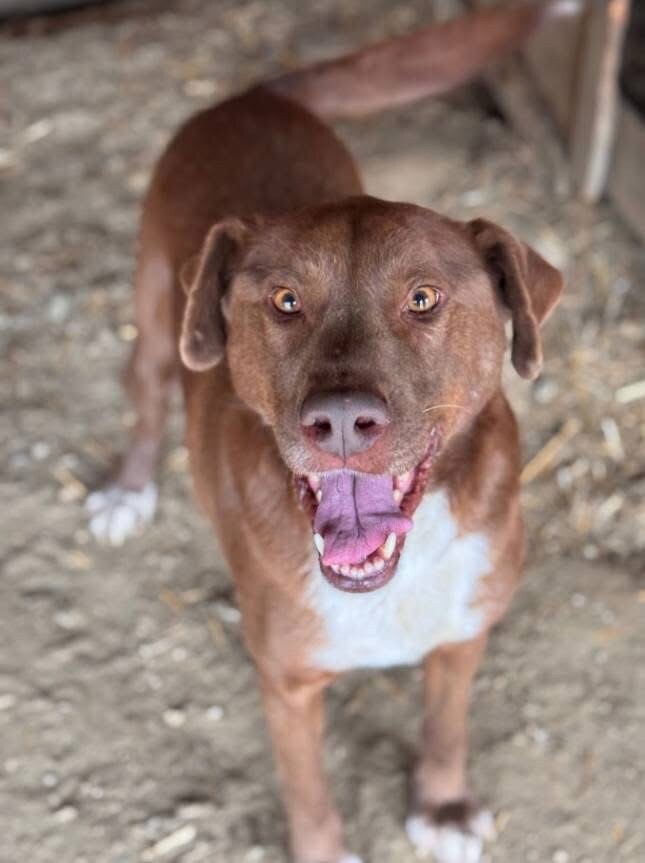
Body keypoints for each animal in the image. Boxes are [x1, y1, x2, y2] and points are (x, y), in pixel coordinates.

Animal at [87, 2, 572, 860]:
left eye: (422, 298)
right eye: (284, 301)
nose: (341, 420)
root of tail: (254, 95)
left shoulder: (464, 633)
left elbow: (446, 724)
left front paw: (441, 804)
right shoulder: (285, 684)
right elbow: (307, 788)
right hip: (154, 317)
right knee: (145, 392)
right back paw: (127, 488)